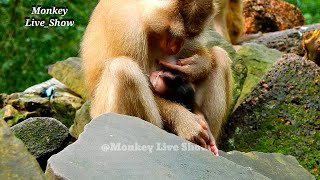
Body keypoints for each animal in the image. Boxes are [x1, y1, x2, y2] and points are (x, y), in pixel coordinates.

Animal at [82, 0, 232, 156]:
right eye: (173, 34)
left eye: (186, 37)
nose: (175, 48)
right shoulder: (127, 29)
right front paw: (186, 122)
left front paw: (198, 65)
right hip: (104, 113)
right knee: (123, 69)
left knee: (220, 56)